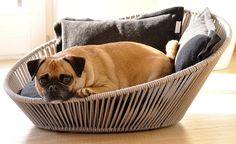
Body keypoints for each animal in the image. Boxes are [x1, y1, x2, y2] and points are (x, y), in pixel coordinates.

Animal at [27, 40, 179, 102]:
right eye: (43, 80)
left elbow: (96, 88)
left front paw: (85, 90)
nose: (53, 87)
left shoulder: (110, 86)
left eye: (66, 79)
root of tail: (167, 57)